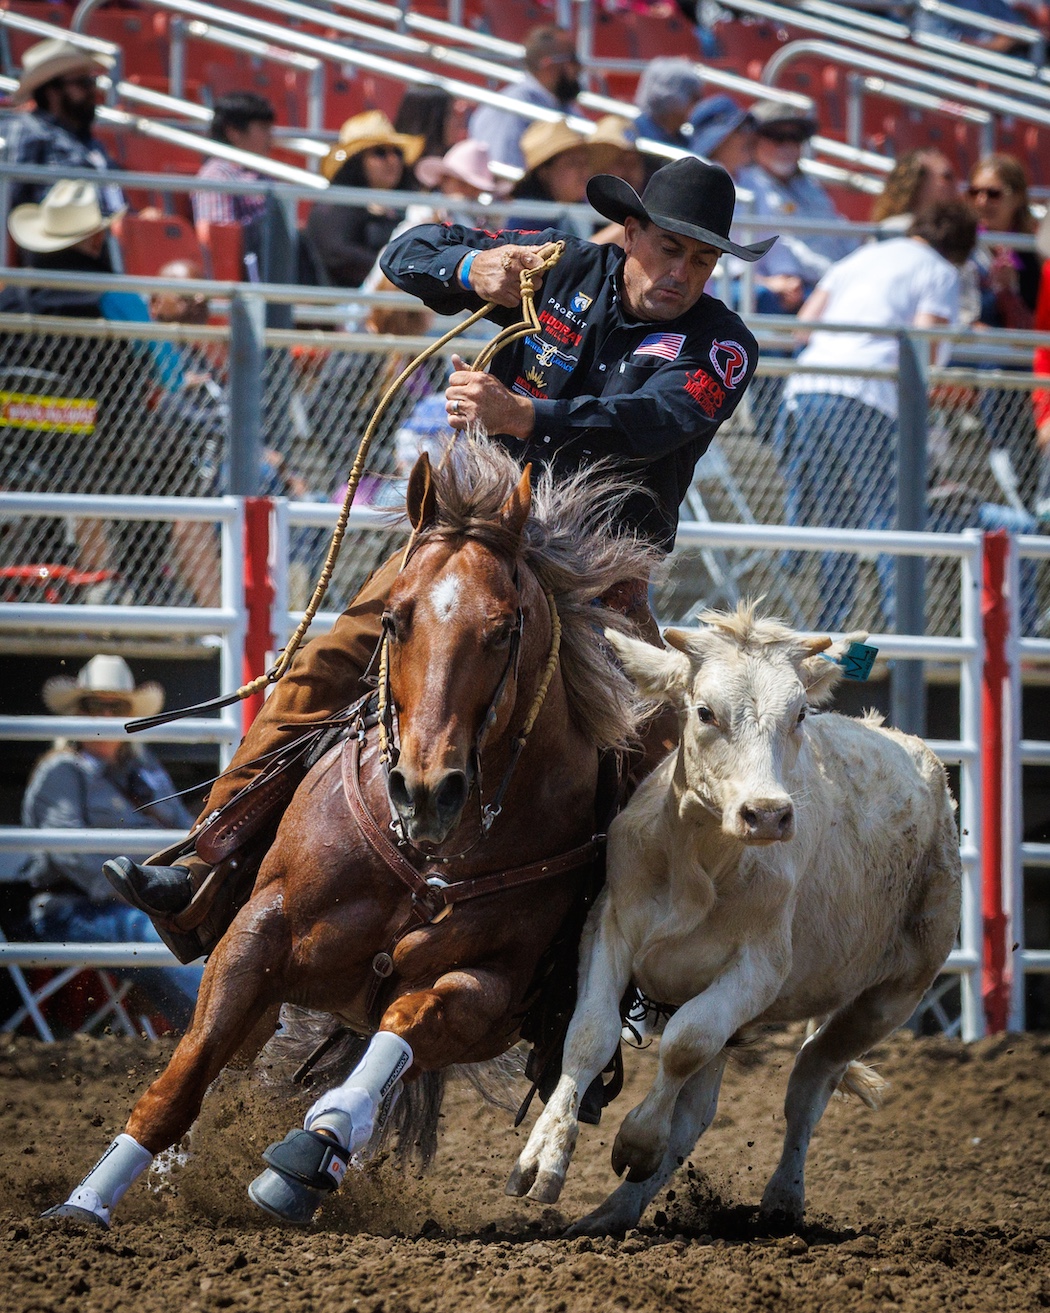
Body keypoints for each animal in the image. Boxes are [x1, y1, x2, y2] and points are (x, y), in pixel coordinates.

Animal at [44, 438, 656, 1229]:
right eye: (394, 619)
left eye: (503, 629)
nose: (425, 790)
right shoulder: (257, 935)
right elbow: (182, 1079)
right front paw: (85, 1204)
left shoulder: (486, 992)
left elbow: (402, 1026)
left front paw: (315, 1148)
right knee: (232, 1057)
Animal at [506, 605, 962, 1236]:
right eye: (704, 711)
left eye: (800, 714)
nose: (767, 814)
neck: (700, 864)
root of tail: (923, 759)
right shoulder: (607, 927)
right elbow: (590, 1035)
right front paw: (542, 1159)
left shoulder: (758, 971)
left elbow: (683, 1043)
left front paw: (636, 1141)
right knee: (701, 1111)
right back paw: (610, 1213)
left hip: (893, 995)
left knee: (808, 1081)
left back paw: (782, 1198)